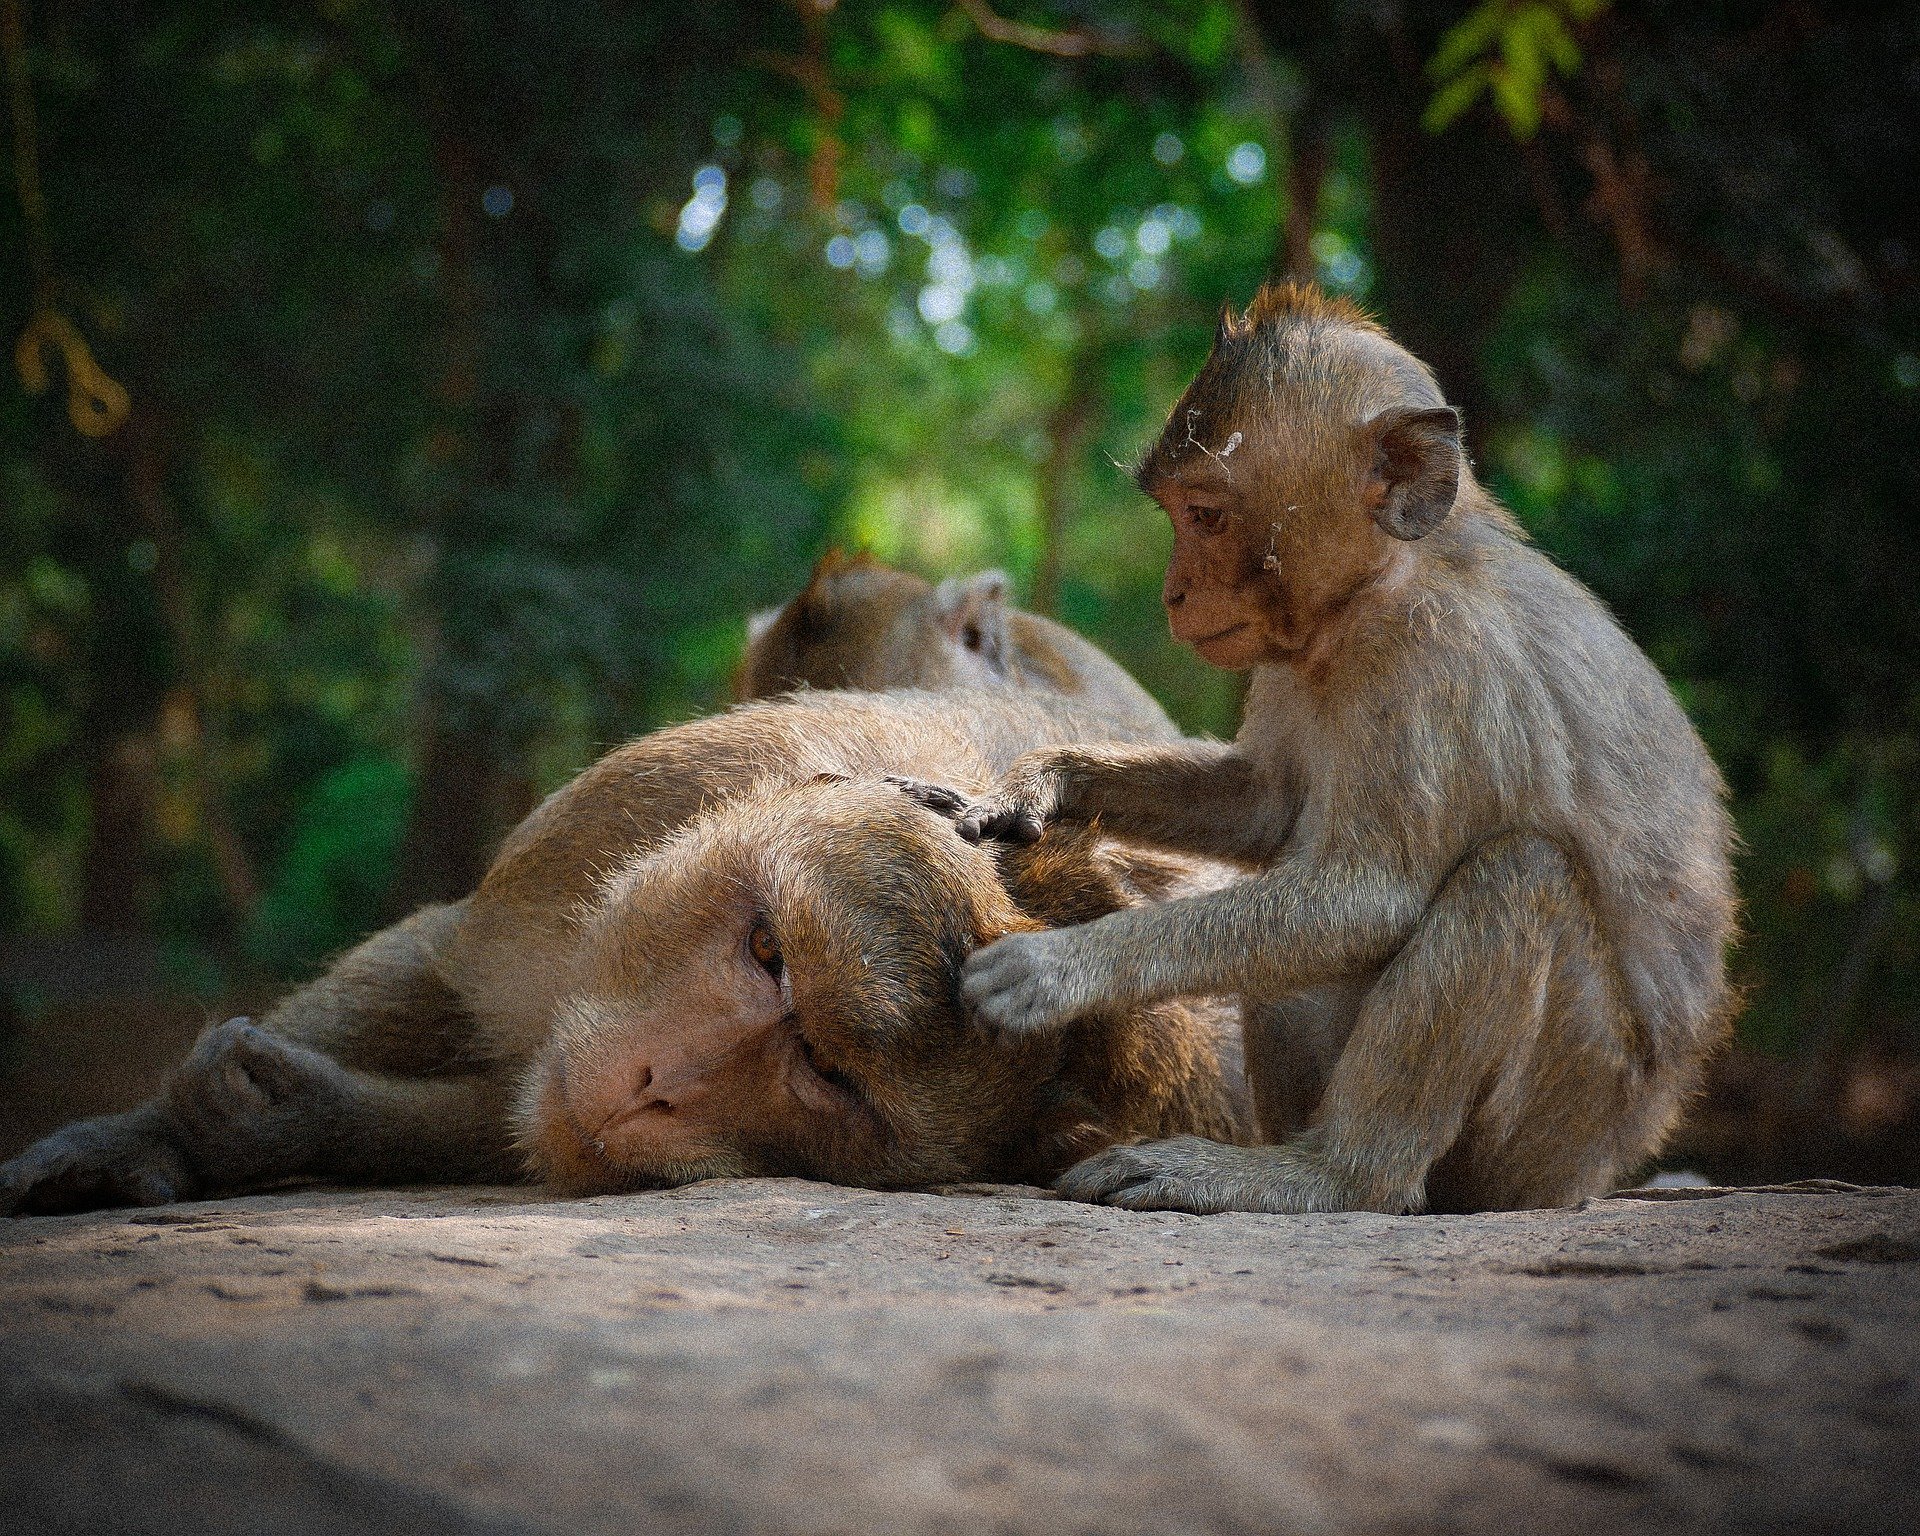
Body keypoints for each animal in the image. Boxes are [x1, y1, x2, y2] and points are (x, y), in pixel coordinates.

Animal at [3, 691, 1244, 1221]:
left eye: (827, 1074)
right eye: (767, 950)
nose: (658, 1082)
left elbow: (520, 1117)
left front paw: (290, 1121)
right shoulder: (615, 823)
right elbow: (445, 957)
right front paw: (153, 1132)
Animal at [921, 284, 1751, 1221]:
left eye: (1205, 514)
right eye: (1175, 515)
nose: (1175, 592)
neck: (1380, 587)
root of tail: (1607, 1163)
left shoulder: (1431, 661)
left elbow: (1370, 898)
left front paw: (1065, 967)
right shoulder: (1290, 655)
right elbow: (1263, 804)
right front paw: (1038, 788)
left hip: (1553, 1128)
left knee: (1519, 875)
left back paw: (1329, 1175)